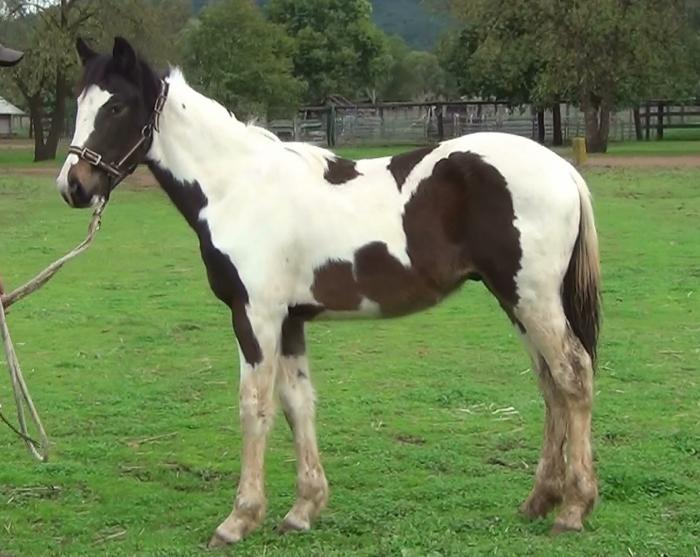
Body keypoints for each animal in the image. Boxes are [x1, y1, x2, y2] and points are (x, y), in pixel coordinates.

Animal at [57, 37, 601, 547]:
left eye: (116, 107)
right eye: (79, 102)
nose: (73, 186)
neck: (238, 187)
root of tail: (563, 170)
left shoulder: (255, 316)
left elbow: (253, 407)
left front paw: (238, 520)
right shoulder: (290, 319)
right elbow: (297, 404)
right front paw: (303, 510)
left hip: (532, 299)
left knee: (573, 376)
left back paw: (573, 509)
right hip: (517, 302)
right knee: (551, 386)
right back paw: (539, 501)